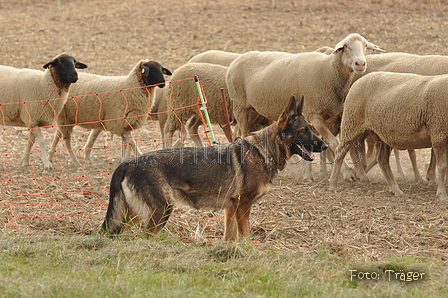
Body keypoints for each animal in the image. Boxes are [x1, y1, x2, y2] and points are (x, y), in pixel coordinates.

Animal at [100, 96, 326, 241]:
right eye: (304, 131)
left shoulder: (231, 209)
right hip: (160, 211)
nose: (325, 146)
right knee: (145, 237)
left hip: (131, 214)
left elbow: (230, 238)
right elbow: (246, 236)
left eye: (311, 129)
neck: (263, 152)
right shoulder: (243, 206)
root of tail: (128, 163)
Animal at [226, 33, 384, 180]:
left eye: (365, 46)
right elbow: (333, 143)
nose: (360, 64)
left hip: (251, 109)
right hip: (240, 105)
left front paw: (308, 172)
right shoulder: (314, 115)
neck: (328, 70)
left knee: (240, 132)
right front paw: (346, 173)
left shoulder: (322, 117)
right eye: (346, 46)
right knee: (244, 133)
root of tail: (236, 60)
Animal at [328, 72, 448, 201]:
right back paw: (333, 184)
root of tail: (358, 81)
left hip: (381, 135)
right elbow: (442, 167)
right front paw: (442, 195)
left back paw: (395, 189)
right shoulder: (439, 133)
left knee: (382, 160)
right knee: (339, 152)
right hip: (351, 124)